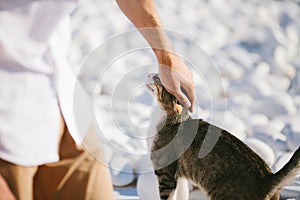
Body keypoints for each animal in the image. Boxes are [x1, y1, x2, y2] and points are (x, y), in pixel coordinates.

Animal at [146, 73, 300, 200]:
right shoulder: (180, 177)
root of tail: (268, 178)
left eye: (158, 78)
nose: (148, 74)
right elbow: (182, 195)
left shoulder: (165, 173)